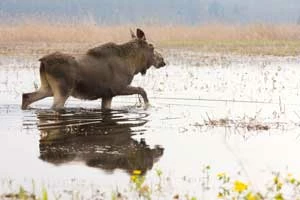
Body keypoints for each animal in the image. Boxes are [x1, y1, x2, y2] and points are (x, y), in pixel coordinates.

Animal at [21, 28, 166, 111]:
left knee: (27, 96)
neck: (133, 65)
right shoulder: (117, 88)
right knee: (53, 106)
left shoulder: (107, 94)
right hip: (63, 90)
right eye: (152, 47)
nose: (162, 60)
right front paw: (147, 105)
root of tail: (43, 62)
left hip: (48, 88)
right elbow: (142, 90)